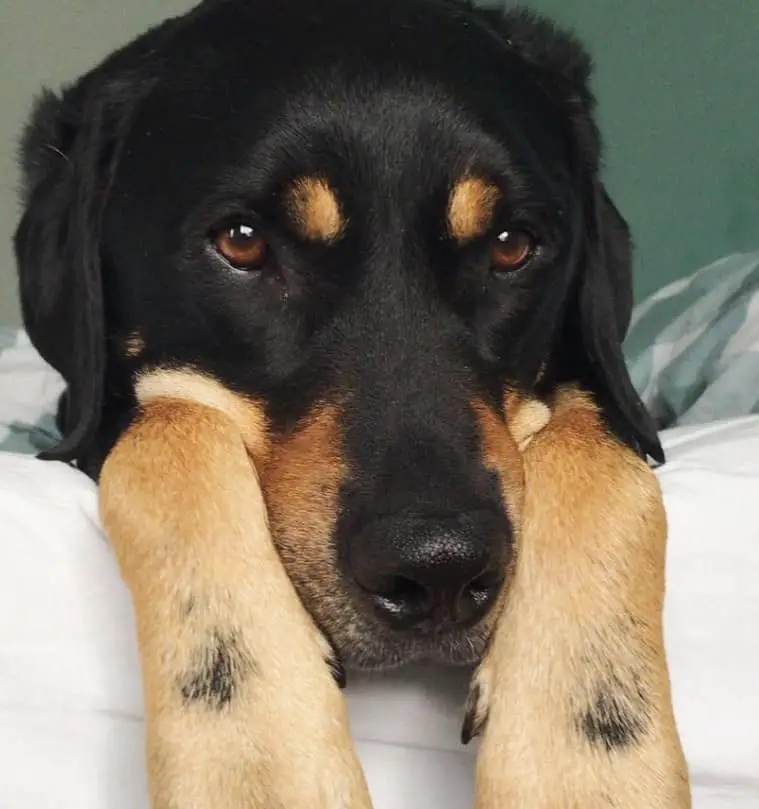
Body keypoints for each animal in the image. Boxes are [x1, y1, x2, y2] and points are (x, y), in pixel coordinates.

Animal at [13, 1, 688, 808]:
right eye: (241, 242)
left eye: (510, 244)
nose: (436, 572)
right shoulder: (96, 419)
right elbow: (174, 431)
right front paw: (257, 754)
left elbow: (607, 462)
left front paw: (587, 746)